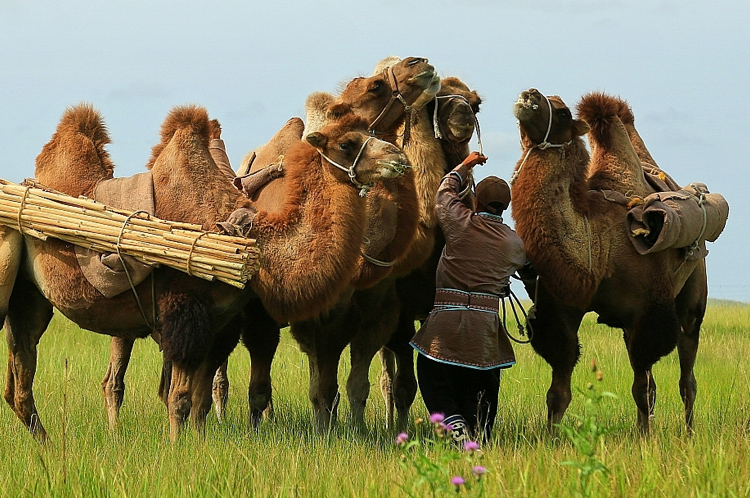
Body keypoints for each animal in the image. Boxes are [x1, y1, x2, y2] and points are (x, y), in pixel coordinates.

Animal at [508, 88, 708, 432]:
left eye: (563, 112)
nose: (529, 94)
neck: (601, 250)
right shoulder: (562, 310)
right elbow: (558, 390)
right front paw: (550, 437)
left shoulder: (648, 311)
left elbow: (640, 388)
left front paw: (644, 438)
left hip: (693, 295)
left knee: (687, 373)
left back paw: (690, 431)